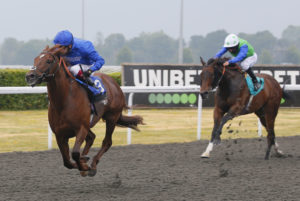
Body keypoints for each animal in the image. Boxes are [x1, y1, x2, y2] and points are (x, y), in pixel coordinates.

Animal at [25, 45, 144, 176]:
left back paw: (93, 164)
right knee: (91, 137)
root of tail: (114, 83)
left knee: (107, 142)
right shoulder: (60, 134)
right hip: (91, 124)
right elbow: (67, 161)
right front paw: (83, 163)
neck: (64, 101)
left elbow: (75, 153)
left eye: (48, 61)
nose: (30, 76)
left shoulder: (81, 128)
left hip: (111, 117)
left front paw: (85, 165)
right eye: (35, 59)